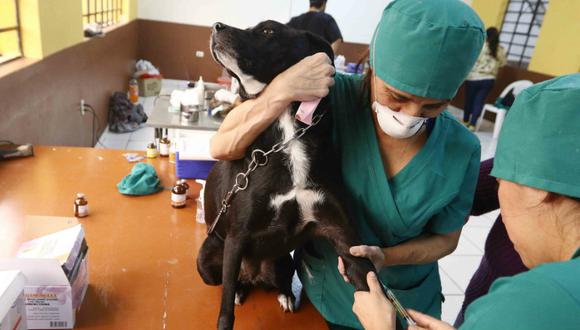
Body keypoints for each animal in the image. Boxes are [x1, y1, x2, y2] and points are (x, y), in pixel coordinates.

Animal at [199, 21, 376, 330]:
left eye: (268, 31)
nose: (216, 26)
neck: (289, 135)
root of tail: (255, 276)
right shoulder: (236, 238)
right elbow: (225, 311)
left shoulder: (345, 237)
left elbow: (373, 289)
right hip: (209, 258)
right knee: (230, 284)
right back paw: (241, 290)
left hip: (284, 260)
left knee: (278, 281)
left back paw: (285, 295)